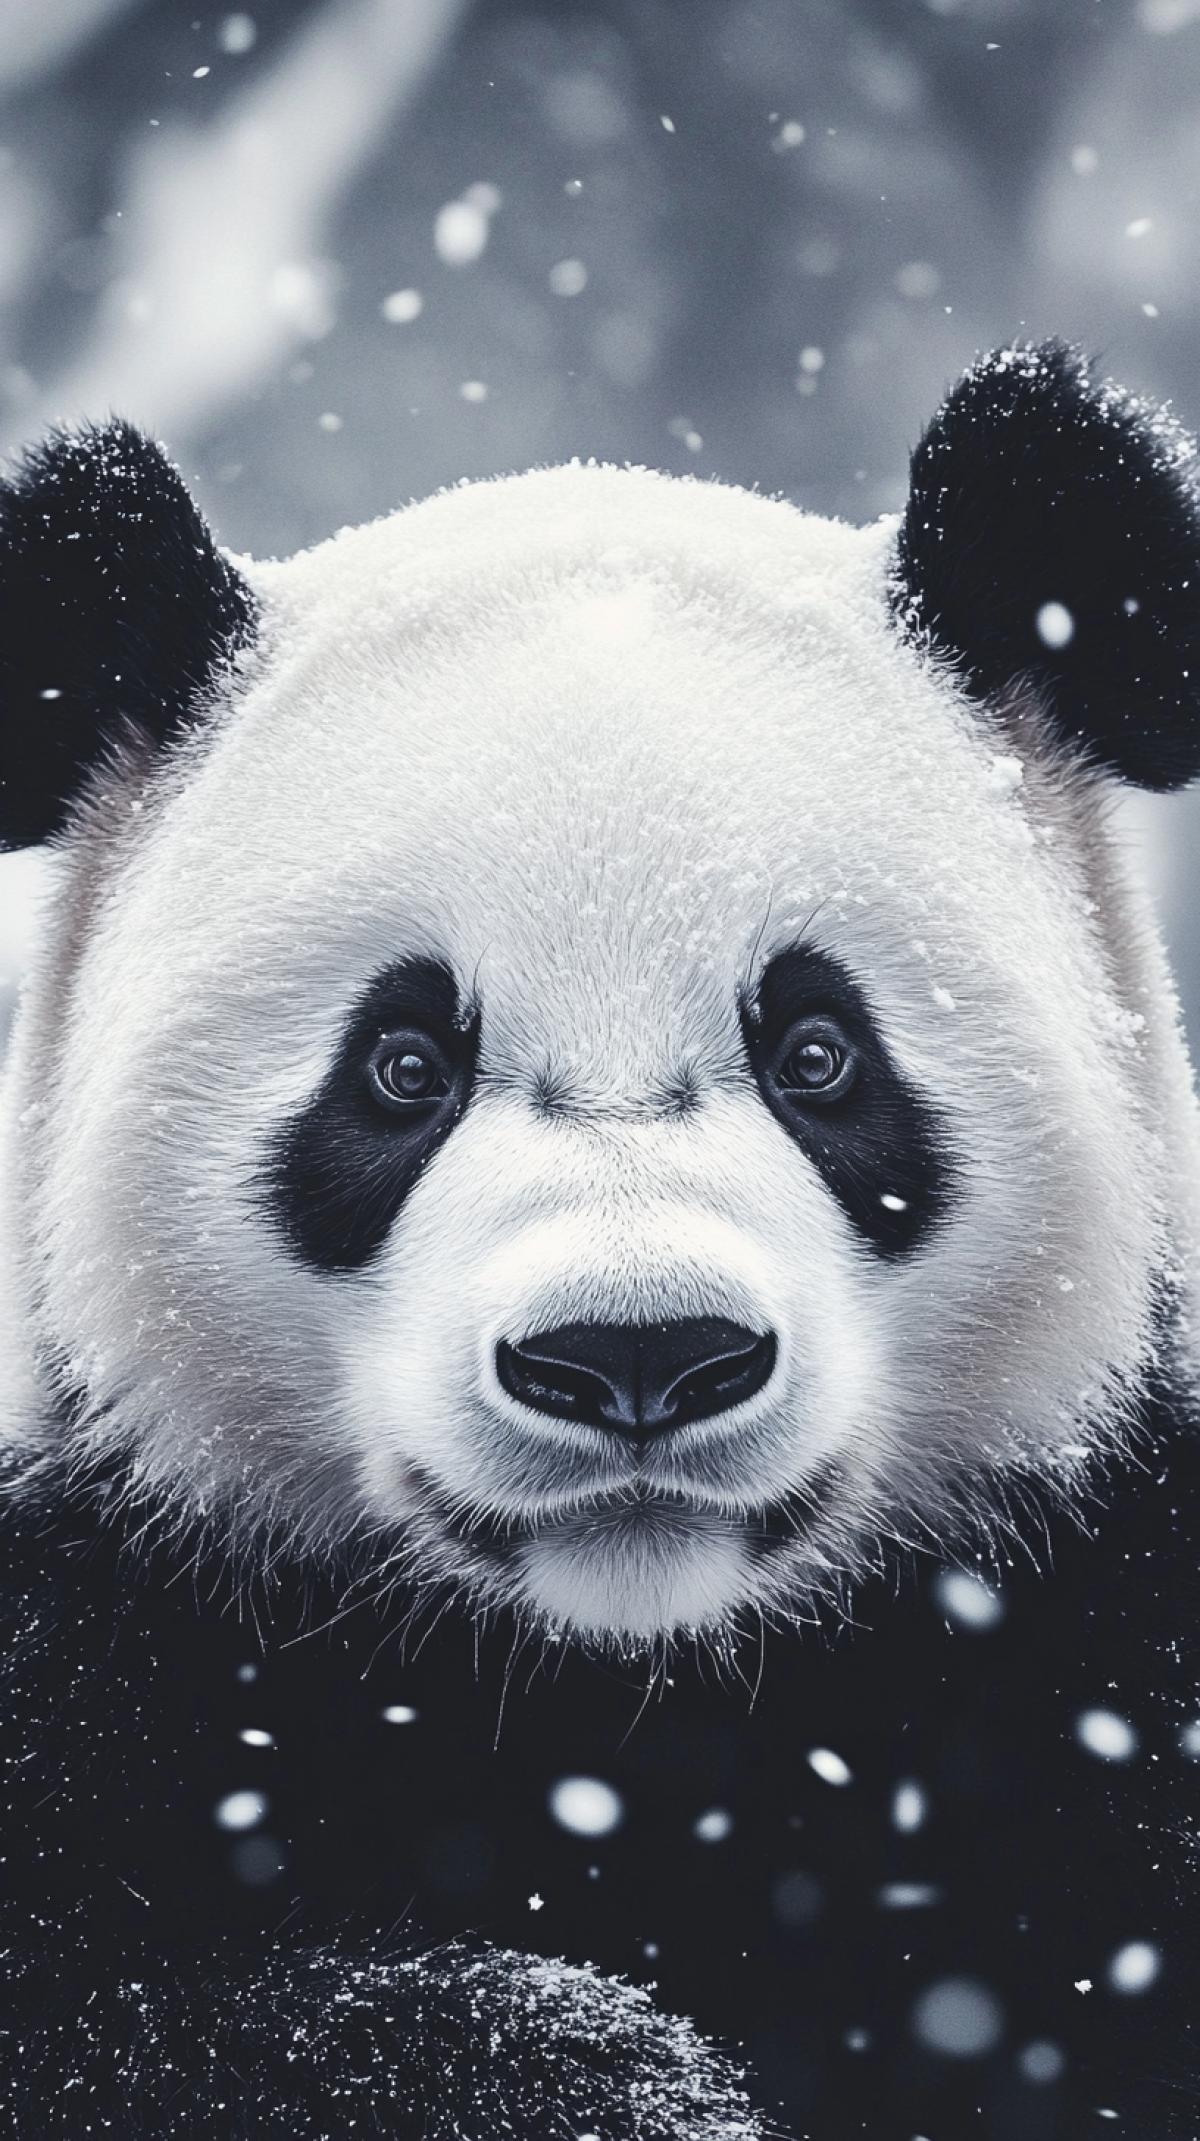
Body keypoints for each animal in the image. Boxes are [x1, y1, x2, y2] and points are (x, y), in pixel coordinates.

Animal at [1, 338, 1199, 2140]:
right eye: (401, 1067)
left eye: (819, 1053)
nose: (639, 1355)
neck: (630, 1697)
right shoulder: (99, 1631)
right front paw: (583, 2074)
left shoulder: (1110, 1629)